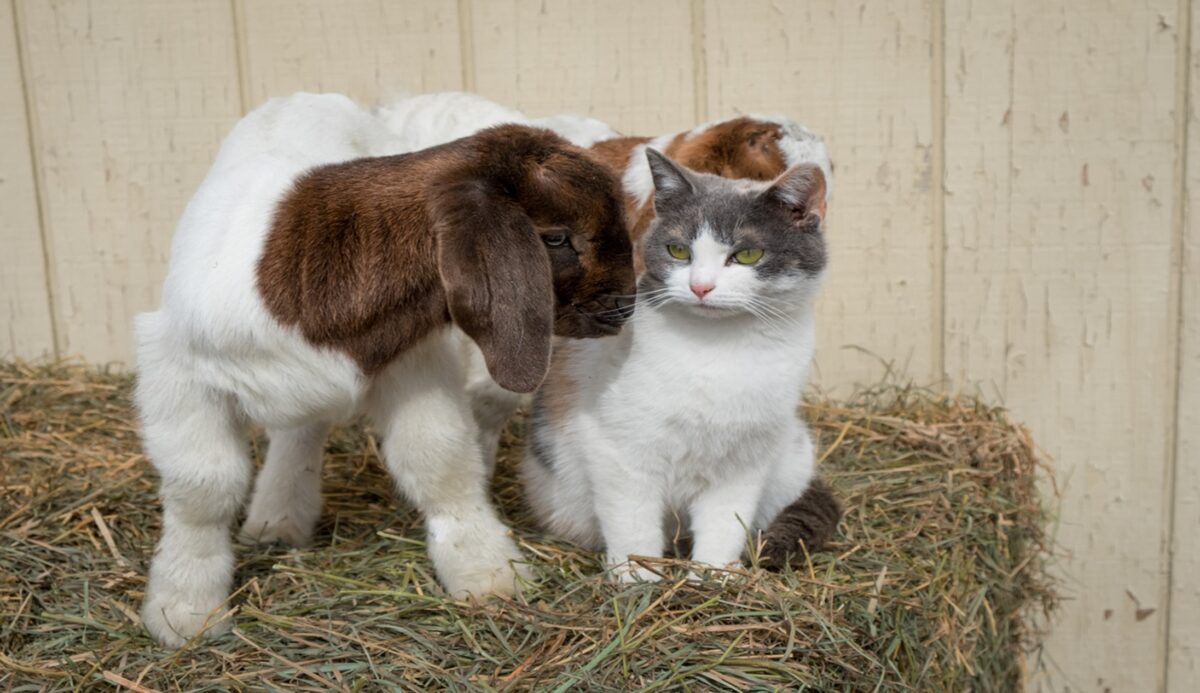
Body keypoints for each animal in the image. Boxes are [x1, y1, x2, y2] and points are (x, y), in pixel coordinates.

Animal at [520, 149, 840, 577]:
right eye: (678, 251)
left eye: (747, 254)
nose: (700, 286)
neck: (715, 350)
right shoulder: (619, 451)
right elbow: (632, 522)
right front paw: (637, 576)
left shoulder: (744, 462)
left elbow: (725, 522)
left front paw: (713, 576)